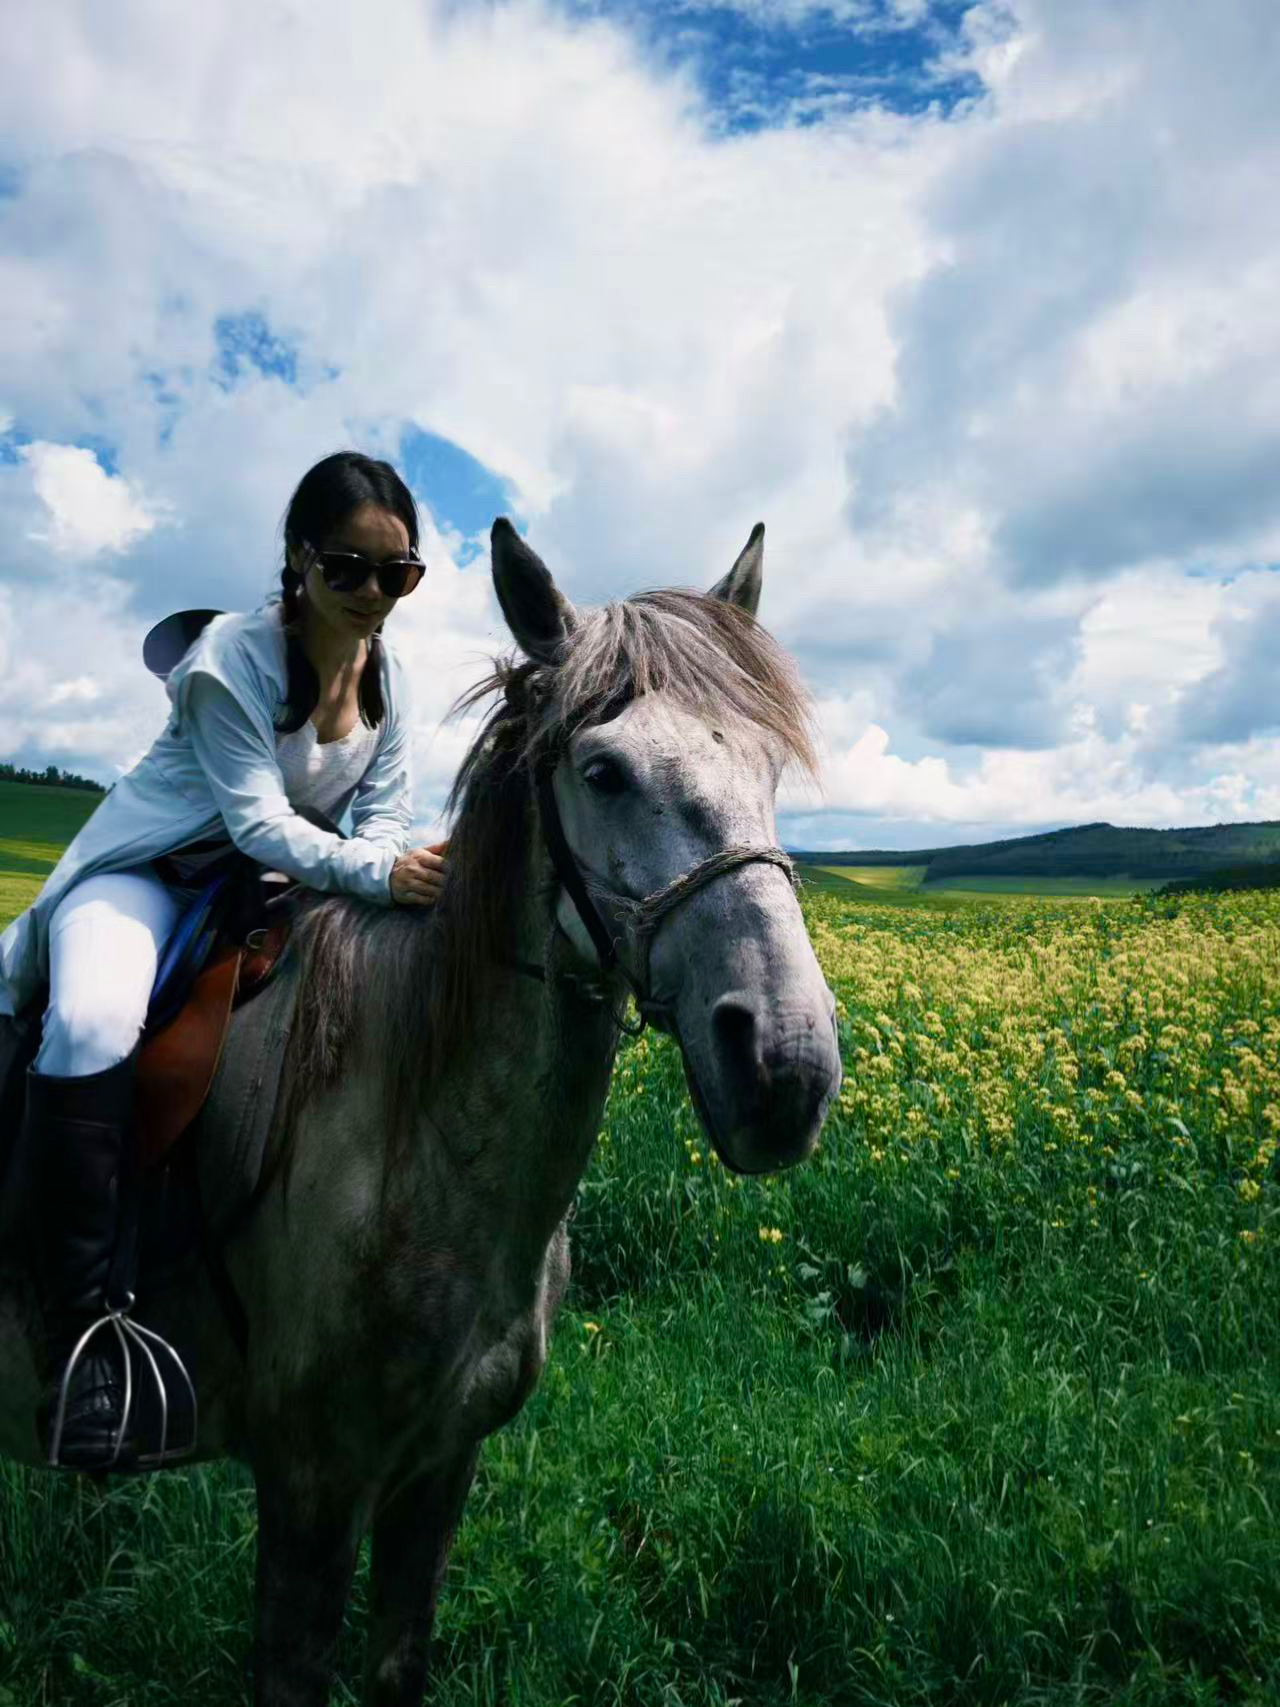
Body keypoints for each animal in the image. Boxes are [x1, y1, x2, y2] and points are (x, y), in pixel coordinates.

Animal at [0, 518, 842, 1706]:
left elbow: (400, 1656)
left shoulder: (440, 1469)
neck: (416, 1143)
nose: (782, 1065)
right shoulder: (309, 1486)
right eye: (603, 771)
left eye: (768, 766)